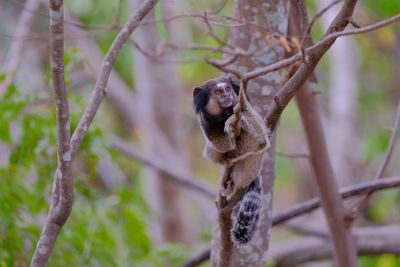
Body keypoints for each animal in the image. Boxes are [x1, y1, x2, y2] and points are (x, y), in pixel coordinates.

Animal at [193, 77, 270, 247]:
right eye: (218, 92)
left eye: (228, 89)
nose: (226, 95)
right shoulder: (206, 123)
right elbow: (222, 144)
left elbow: (263, 133)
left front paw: (234, 119)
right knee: (212, 151)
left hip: (251, 163)